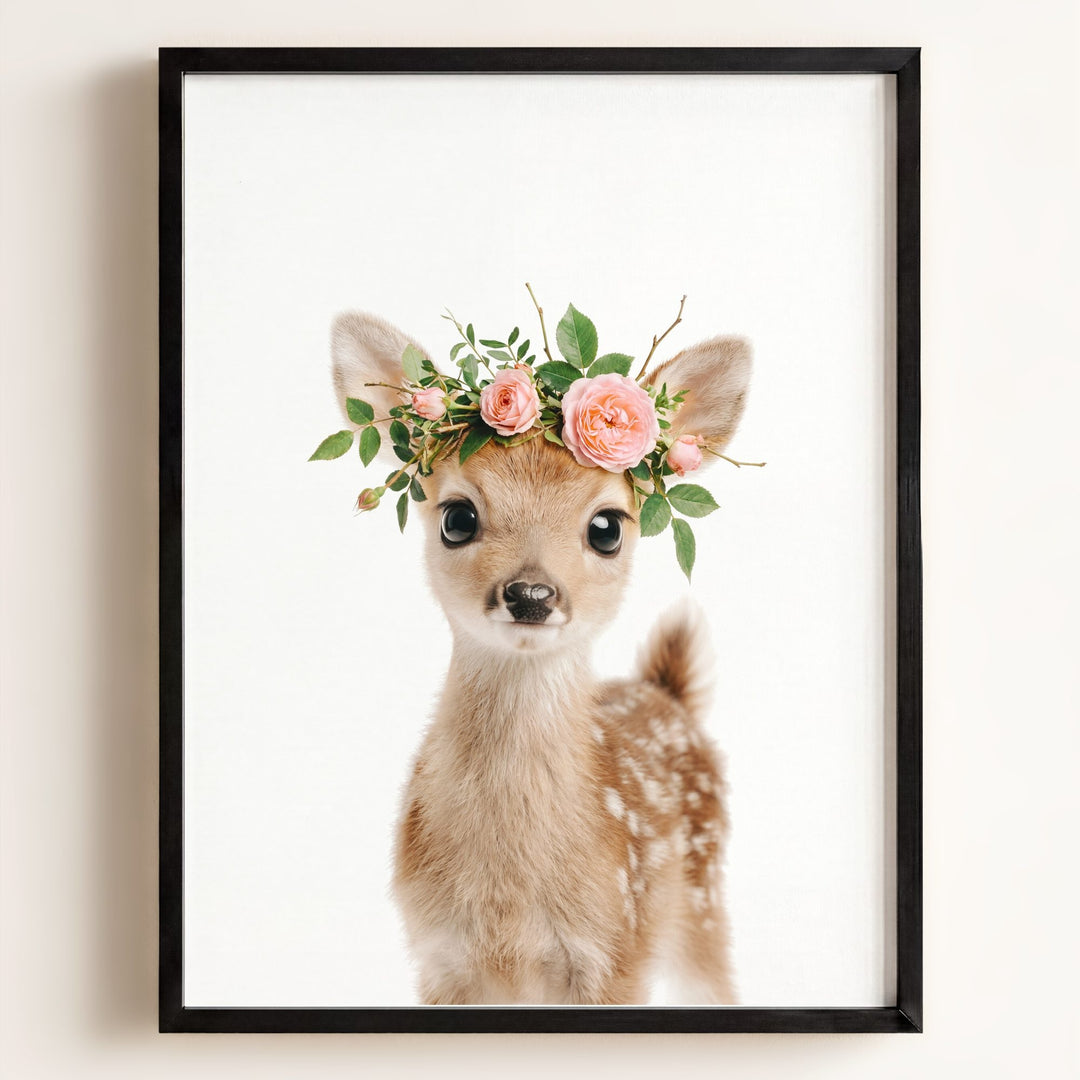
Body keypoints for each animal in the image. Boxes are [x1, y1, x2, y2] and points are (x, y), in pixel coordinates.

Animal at [329, 310, 752, 1005]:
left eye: (607, 527)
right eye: (457, 517)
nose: (531, 594)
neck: (510, 900)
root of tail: (666, 692)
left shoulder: (616, 951)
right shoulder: (439, 957)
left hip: (702, 902)